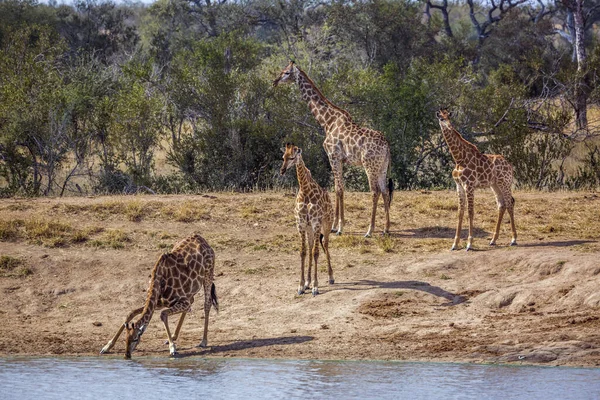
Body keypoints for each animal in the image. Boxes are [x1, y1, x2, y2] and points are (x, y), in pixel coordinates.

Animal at [272, 61, 394, 238]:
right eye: (282, 71)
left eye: (287, 72)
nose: (274, 81)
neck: (327, 122)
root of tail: (387, 146)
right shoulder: (339, 159)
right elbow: (337, 188)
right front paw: (335, 225)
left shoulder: (333, 156)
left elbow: (339, 189)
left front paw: (340, 227)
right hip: (382, 166)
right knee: (385, 191)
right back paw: (386, 229)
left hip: (369, 165)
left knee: (375, 191)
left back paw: (369, 230)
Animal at [280, 142, 336, 296]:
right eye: (283, 157)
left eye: (293, 157)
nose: (282, 171)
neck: (305, 190)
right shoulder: (301, 224)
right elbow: (303, 252)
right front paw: (301, 285)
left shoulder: (316, 223)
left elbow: (316, 253)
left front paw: (316, 287)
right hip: (310, 228)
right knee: (311, 247)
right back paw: (308, 282)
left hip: (327, 224)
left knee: (325, 245)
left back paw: (330, 277)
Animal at [436, 109, 516, 252]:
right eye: (441, 118)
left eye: (448, 117)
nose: (449, 126)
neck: (459, 158)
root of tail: (510, 165)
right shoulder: (459, 185)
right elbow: (460, 212)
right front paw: (454, 244)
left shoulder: (469, 185)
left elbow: (470, 211)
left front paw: (469, 244)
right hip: (495, 185)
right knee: (502, 204)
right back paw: (493, 240)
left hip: (505, 183)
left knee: (509, 203)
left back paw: (513, 239)